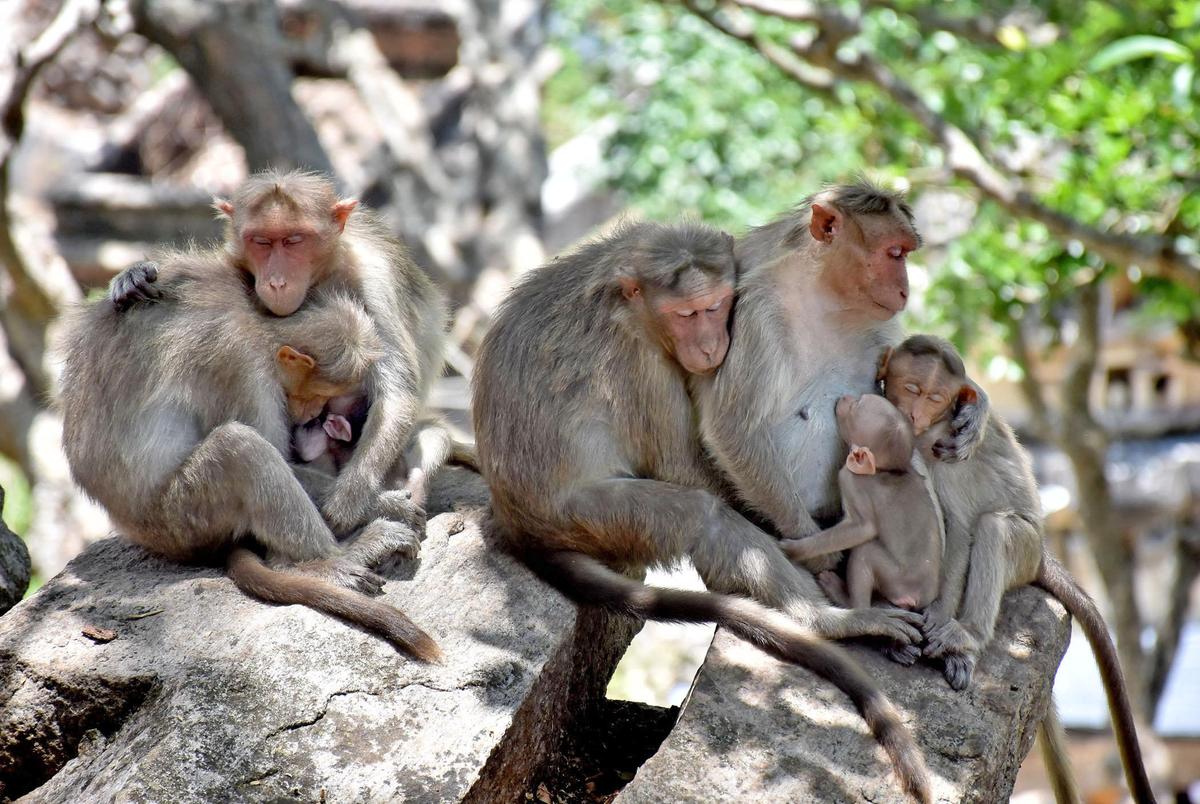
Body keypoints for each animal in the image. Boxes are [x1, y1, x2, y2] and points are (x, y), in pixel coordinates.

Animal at [782, 394, 943, 619]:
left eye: (856, 406)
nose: (846, 397)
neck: (883, 470)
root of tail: (917, 599)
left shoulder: (850, 479)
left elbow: (863, 528)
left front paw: (796, 549)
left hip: (897, 580)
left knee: (865, 554)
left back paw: (847, 600)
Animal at [879, 334, 1154, 804]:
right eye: (911, 389)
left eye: (935, 398)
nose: (915, 414)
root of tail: (1043, 552)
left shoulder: (945, 448)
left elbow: (961, 527)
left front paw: (937, 616)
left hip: (1025, 550)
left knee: (991, 528)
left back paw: (966, 636)